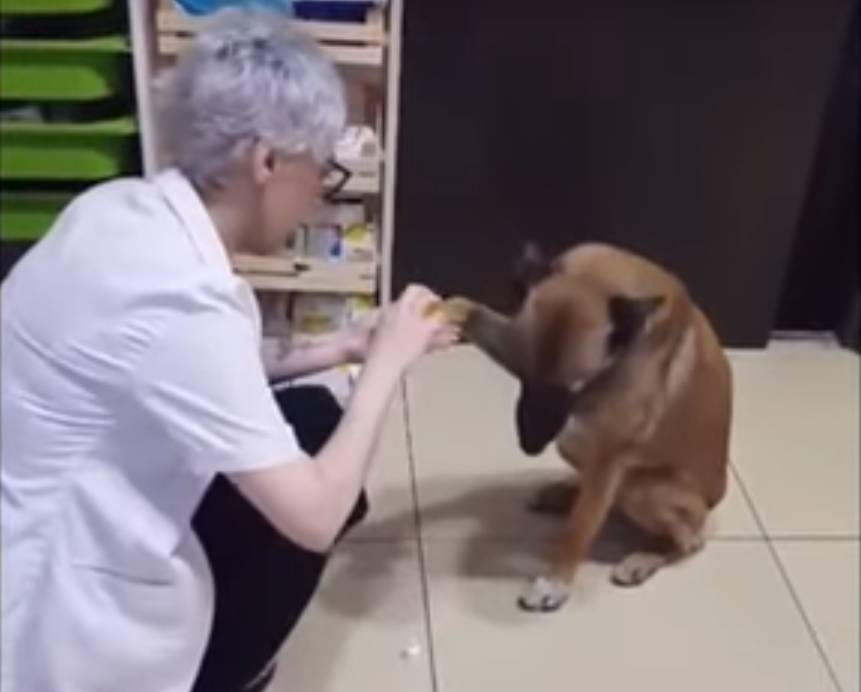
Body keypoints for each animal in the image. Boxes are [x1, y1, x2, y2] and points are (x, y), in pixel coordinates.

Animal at [444, 243, 732, 612]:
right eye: (523, 377)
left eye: (573, 388)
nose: (529, 446)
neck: (596, 279)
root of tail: (713, 501)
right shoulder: (512, 340)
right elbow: (471, 308)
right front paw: (444, 309)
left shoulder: (609, 459)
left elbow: (579, 529)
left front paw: (556, 581)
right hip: (574, 446)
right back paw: (565, 493)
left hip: (641, 488)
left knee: (689, 542)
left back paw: (646, 556)